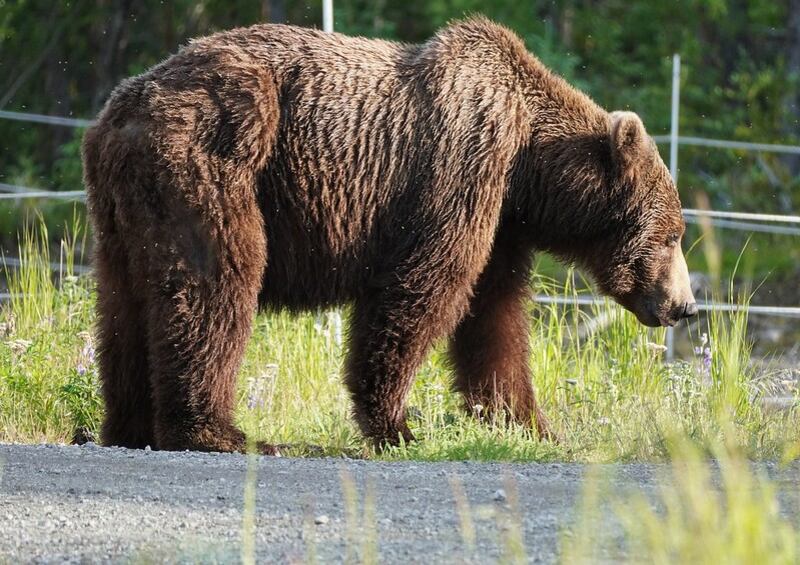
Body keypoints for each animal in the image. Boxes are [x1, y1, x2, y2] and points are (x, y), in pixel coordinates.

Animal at [81, 17, 697, 454]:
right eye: (673, 235)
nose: (685, 305)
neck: (527, 169)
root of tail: (120, 114)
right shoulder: (462, 170)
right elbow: (422, 290)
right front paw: (398, 423)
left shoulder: (501, 226)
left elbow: (493, 321)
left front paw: (531, 425)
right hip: (219, 155)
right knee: (216, 283)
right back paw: (219, 431)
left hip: (122, 210)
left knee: (124, 307)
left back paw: (129, 425)